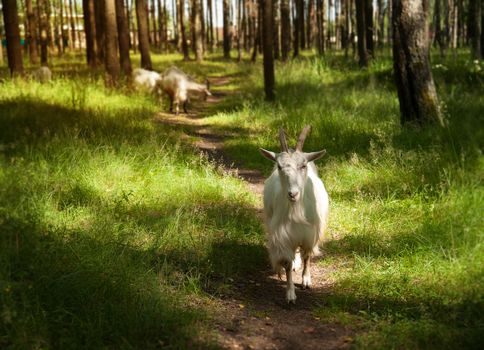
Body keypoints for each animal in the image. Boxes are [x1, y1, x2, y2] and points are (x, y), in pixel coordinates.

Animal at [260, 126, 328, 304]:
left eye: (303, 165)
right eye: (279, 166)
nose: (293, 194)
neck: (296, 210)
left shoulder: (310, 234)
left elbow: (307, 256)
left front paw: (306, 280)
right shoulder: (284, 236)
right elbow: (287, 264)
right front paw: (290, 294)